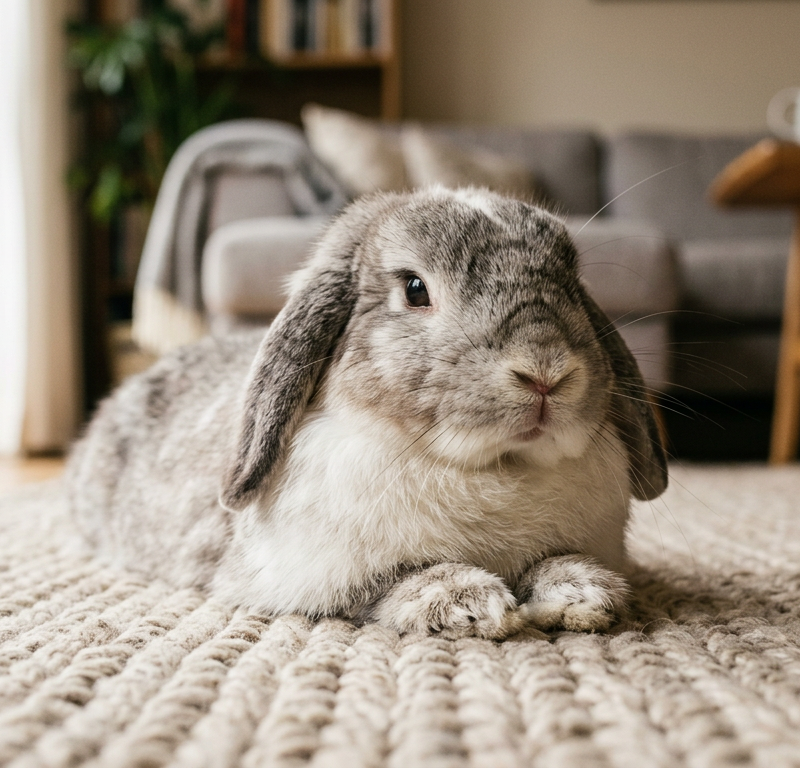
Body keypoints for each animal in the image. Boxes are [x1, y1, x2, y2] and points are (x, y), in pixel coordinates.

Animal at [67, 186, 668, 639]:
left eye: (573, 284)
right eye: (415, 288)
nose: (545, 372)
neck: (496, 467)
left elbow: (558, 562)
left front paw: (583, 593)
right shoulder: (308, 575)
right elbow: (388, 585)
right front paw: (471, 604)